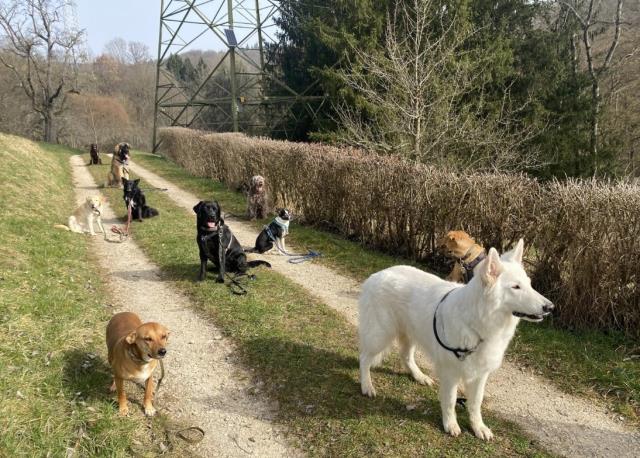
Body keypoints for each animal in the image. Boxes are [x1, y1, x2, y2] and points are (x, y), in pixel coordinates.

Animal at [358, 239, 553, 440]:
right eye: (516, 287)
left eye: (529, 285)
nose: (550, 307)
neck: (477, 322)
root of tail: (377, 275)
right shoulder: (450, 373)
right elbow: (450, 401)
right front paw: (450, 424)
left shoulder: (480, 375)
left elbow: (475, 403)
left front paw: (478, 427)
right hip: (380, 335)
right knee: (364, 359)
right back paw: (367, 385)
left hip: (411, 333)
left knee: (405, 356)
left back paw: (419, 376)